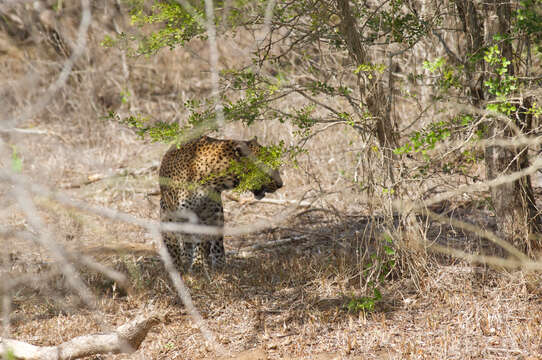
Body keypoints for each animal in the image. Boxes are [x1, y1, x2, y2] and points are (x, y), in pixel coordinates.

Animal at [158, 136, 282, 272]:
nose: (281, 184)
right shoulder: (167, 211)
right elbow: (172, 244)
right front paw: (177, 268)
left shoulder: (204, 214)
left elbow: (201, 242)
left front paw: (198, 266)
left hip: (217, 214)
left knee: (215, 244)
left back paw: (218, 266)